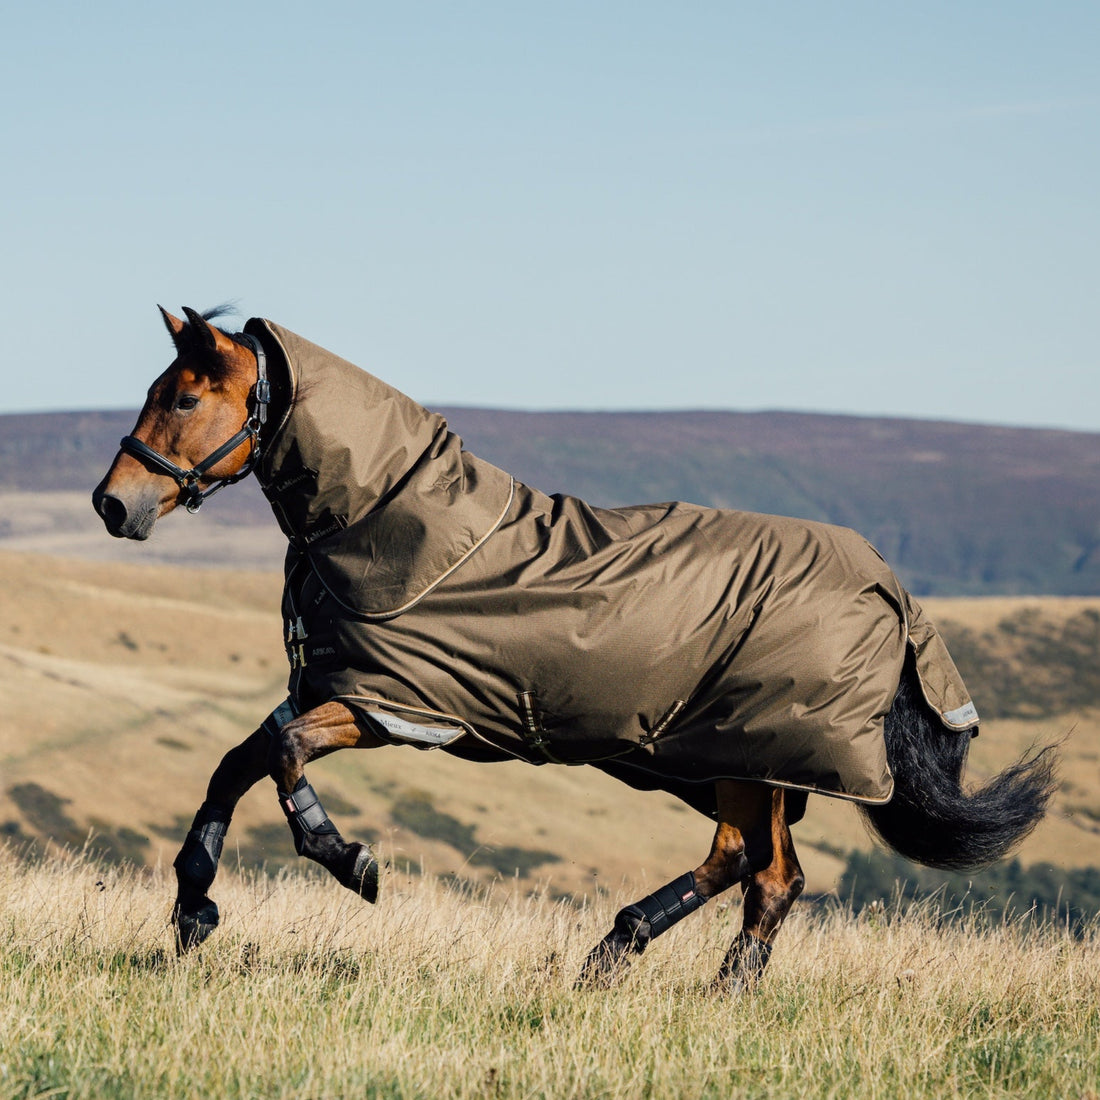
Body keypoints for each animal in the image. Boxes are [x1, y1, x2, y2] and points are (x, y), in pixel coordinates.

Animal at [92, 306, 1057, 990]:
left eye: (183, 398)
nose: (112, 503)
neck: (384, 517)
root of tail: (889, 587)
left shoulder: (396, 706)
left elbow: (285, 757)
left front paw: (350, 862)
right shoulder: (341, 690)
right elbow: (236, 763)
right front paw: (192, 910)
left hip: (762, 752)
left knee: (769, 875)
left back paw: (712, 989)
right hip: (731, 755)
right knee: (745, 860)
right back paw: (614, 953)